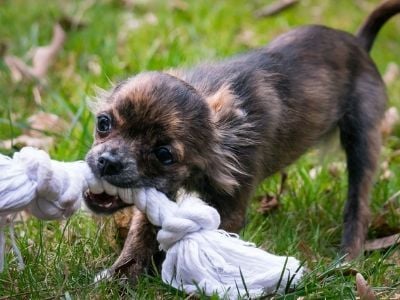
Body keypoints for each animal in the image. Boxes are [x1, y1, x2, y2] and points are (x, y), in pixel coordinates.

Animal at [83, 1, 400, 284]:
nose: (108, 162)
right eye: (103, 123)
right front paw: (121, 276)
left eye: (164, 154)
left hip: (362, 139)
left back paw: (347, 258)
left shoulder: (231, 206)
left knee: (358, 204)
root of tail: (359, 43)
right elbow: (140, 233)